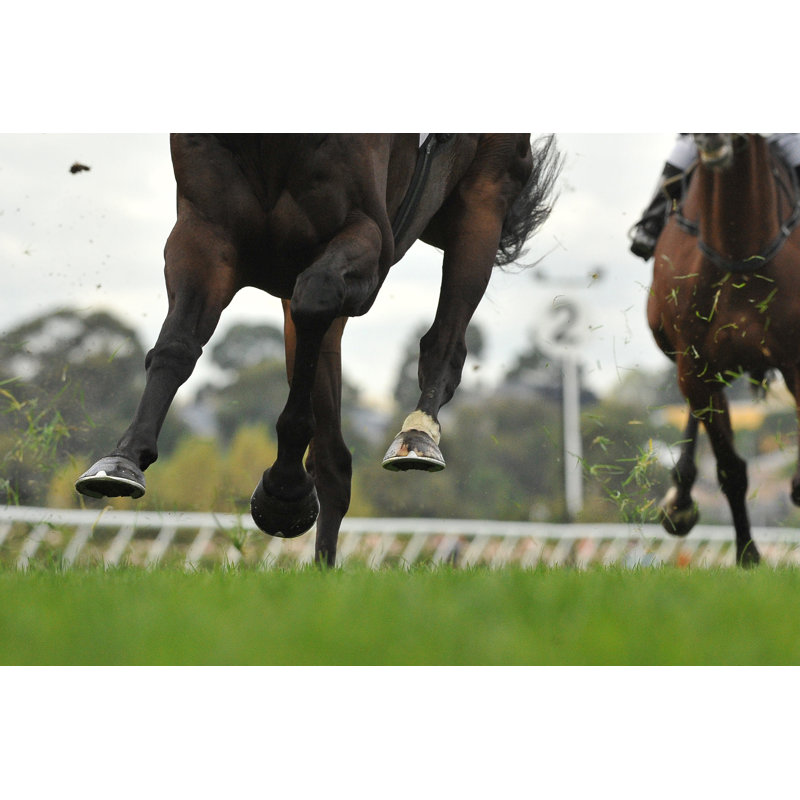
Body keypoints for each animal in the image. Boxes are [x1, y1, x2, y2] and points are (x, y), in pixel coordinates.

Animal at [75, 134, 561, 566]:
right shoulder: (205, 233)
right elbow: (176, 345)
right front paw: (123, 459)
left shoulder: (369, 238)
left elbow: (317, 296)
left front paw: (285, 488)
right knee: (334, 461)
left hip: (484, 197)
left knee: (445, 342)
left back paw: (417, 436)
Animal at [647, 133, 800, 566]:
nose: (710, 136)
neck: (738, 244)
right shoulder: (696, 365)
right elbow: (731, 469)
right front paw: (748, 556)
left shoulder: (795, 360)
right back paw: (680, 499)